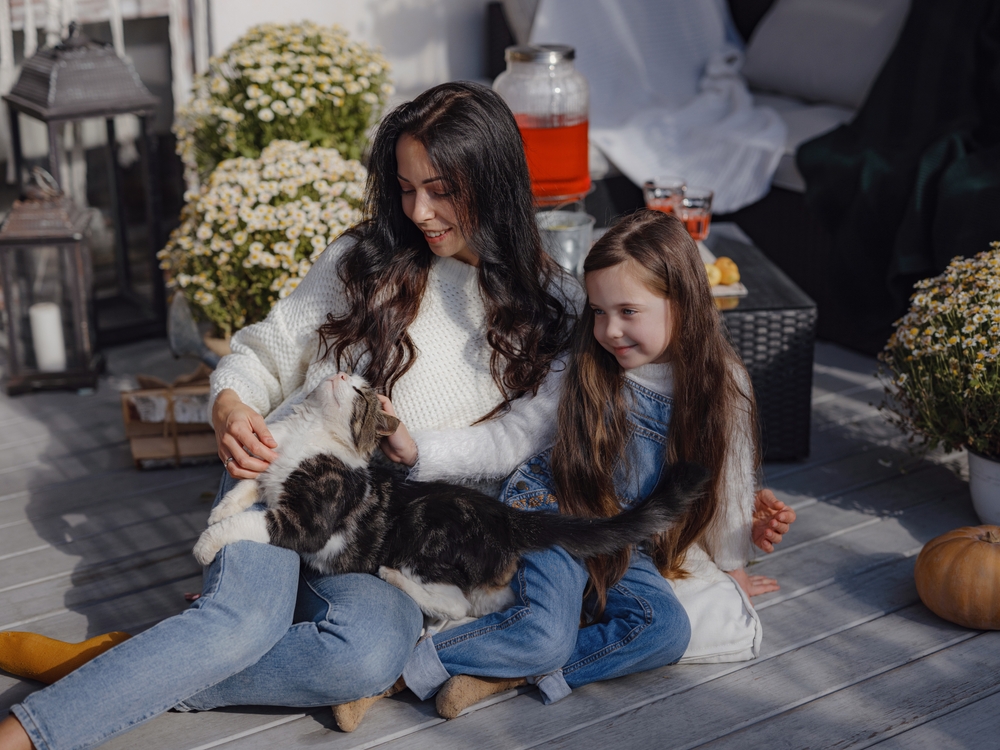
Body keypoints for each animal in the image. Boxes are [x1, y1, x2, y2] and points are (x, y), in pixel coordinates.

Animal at [193, 372, 712, 624]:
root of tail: (504, 516)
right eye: (347, 379)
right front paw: (217, 509)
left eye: (361, 393)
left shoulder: (307, 520)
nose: (341, 375)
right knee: (488, 601)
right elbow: (246, 487)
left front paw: (206, 542)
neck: (307, 433)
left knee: (460, 604)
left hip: (424, 537)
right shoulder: (267, 465)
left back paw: (393, 578)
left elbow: (252, 521)